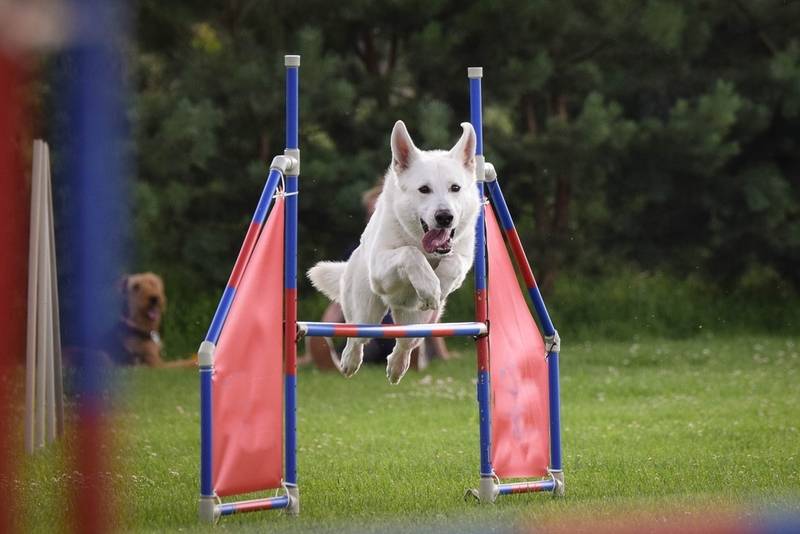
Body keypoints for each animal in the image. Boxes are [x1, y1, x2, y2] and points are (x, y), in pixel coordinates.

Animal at [310, 120, 478, 386]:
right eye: (424, 189)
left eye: (455, 188)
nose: (445, 217)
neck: (422, 243)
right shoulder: (381, 270)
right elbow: (409, 253)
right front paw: (430, 286)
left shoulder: (462, 258)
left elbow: (451, 262)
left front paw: (439, 285)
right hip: (366, 310)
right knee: (357, 337)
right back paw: (349, 361)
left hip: (420, 324)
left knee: (404, 343)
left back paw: (397, 366)